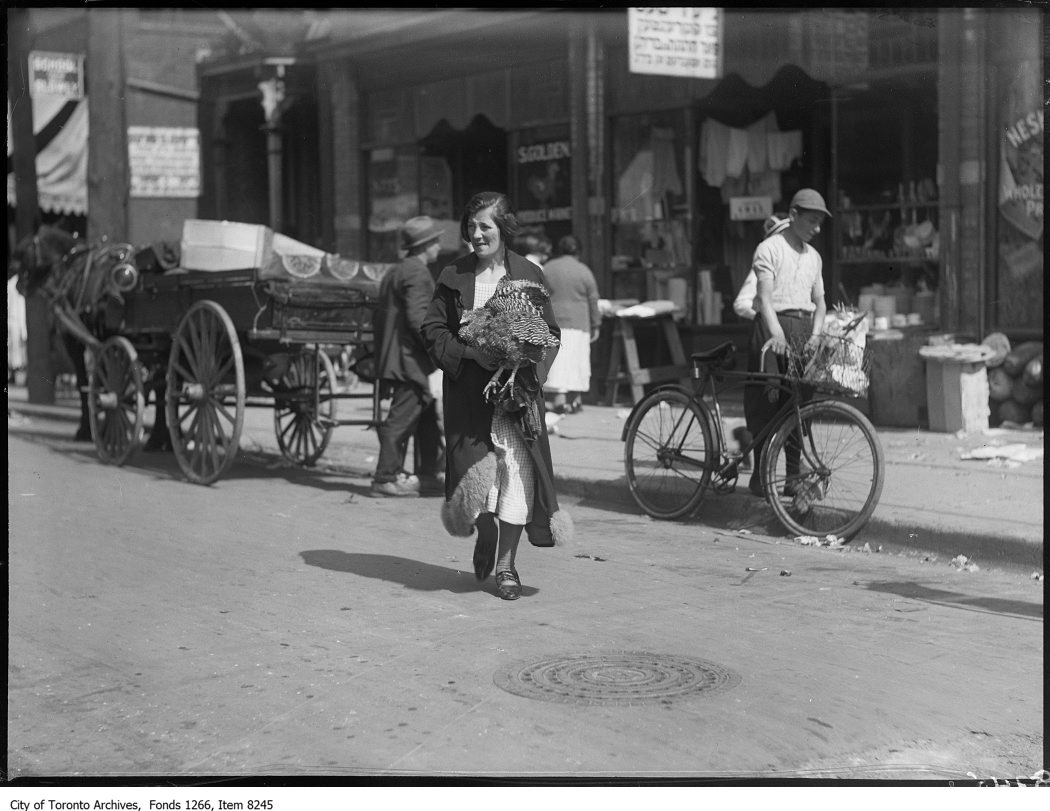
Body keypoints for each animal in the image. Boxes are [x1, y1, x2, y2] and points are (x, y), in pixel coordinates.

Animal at [11, 223, 172, 449]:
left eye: (23, 251)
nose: (18, 285)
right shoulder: (101, 343)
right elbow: (104, 381)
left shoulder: (73, 340)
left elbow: (84, 383)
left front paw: (86, 430)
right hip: (155, 341)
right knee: (160, 385)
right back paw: (159, 437)